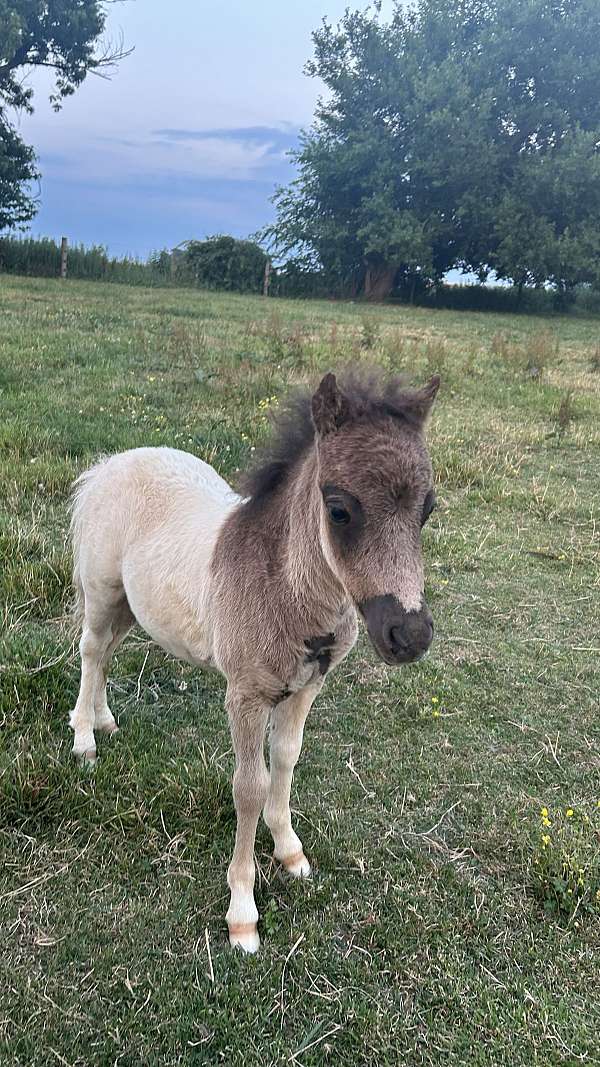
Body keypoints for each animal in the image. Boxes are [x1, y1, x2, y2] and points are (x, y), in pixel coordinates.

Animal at [69, 369, 440, 952]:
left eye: (427, 510)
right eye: (339, 509)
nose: (409, 635)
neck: (284, 587)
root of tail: (110, 464)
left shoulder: (305, 687)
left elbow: (286, 759)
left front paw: (291, 853)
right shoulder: (244, 695)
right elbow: (249, 787)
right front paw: (242, 914)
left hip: (134, 604)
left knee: (107, 653)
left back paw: (104, 720)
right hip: (103, 591)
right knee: (90, 649)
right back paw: (84, 738)